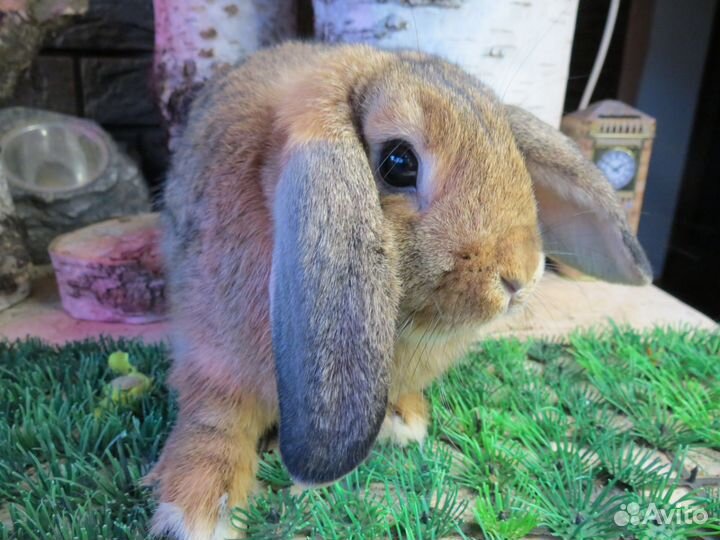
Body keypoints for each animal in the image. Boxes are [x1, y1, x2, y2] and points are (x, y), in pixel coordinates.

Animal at [146, 41, 651, 539]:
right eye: (399, 163)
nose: (520, 276)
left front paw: (405, 421)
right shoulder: (212, 356)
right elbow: (216, 419)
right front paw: (199, 510)